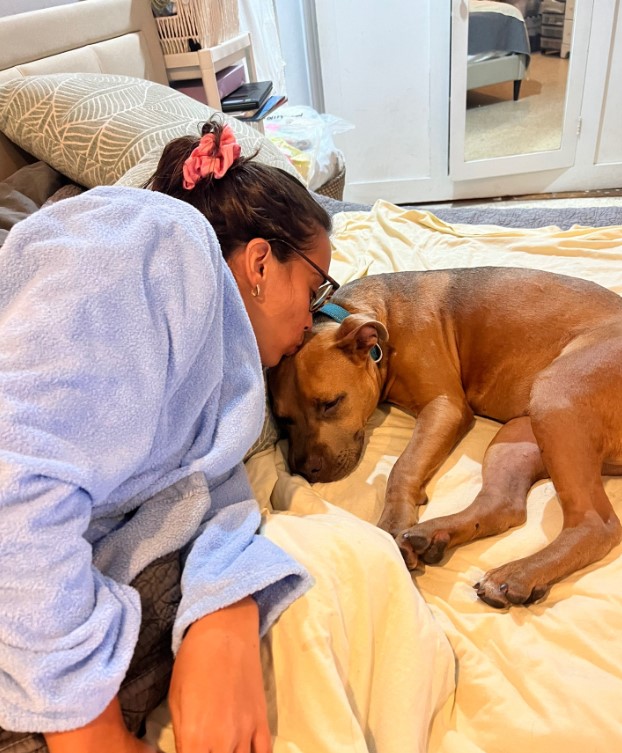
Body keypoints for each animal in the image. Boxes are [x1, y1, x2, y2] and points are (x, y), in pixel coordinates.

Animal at [270, 268, 622, 608]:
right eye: (284, 420)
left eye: (331, 403)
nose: (305, 470)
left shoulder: (444, 406)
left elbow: (403, 466)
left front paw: (394, 522)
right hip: (518, 435)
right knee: (503, 506)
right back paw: (435, 535)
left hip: (555, 397)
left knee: (596, 525)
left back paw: (520, 573)